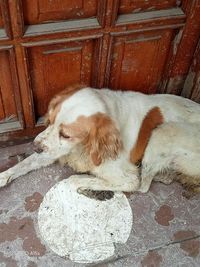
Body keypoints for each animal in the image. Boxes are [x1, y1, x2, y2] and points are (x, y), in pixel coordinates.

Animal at [0, 86, 199, 197]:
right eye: (49, 121)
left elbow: (76, 179)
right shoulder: (52, 150)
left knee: (143, 187)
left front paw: (82, 182)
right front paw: (3, 176)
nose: (35, 146)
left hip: (162, 132)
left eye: (66, 135)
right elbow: (24, 164)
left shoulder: (127, 178)